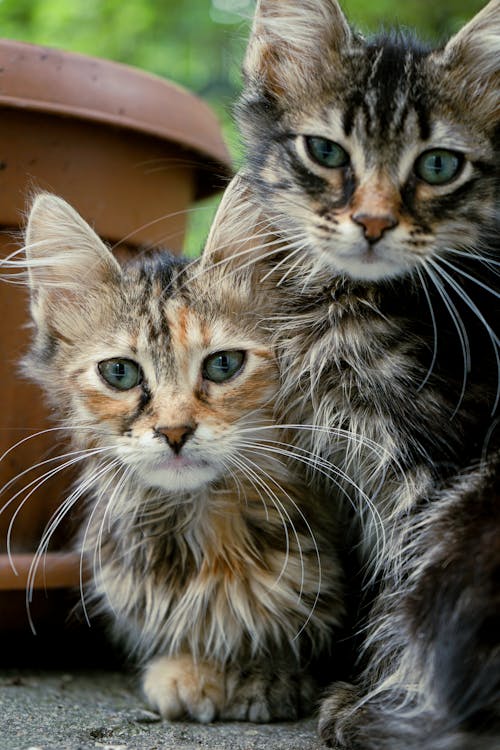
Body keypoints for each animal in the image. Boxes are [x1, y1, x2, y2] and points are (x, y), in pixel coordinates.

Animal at [13, 195, 346, 728]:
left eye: (224, 365)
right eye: (120, 372)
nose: (174, 431)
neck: (205, 533)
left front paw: (263, 675)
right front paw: (192, 670)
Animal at [208, 0, 500, 748]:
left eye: (438, 165)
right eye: (327, 152)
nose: (371, 222)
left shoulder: (427, 470)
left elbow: (400, 588)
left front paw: (377, 695)